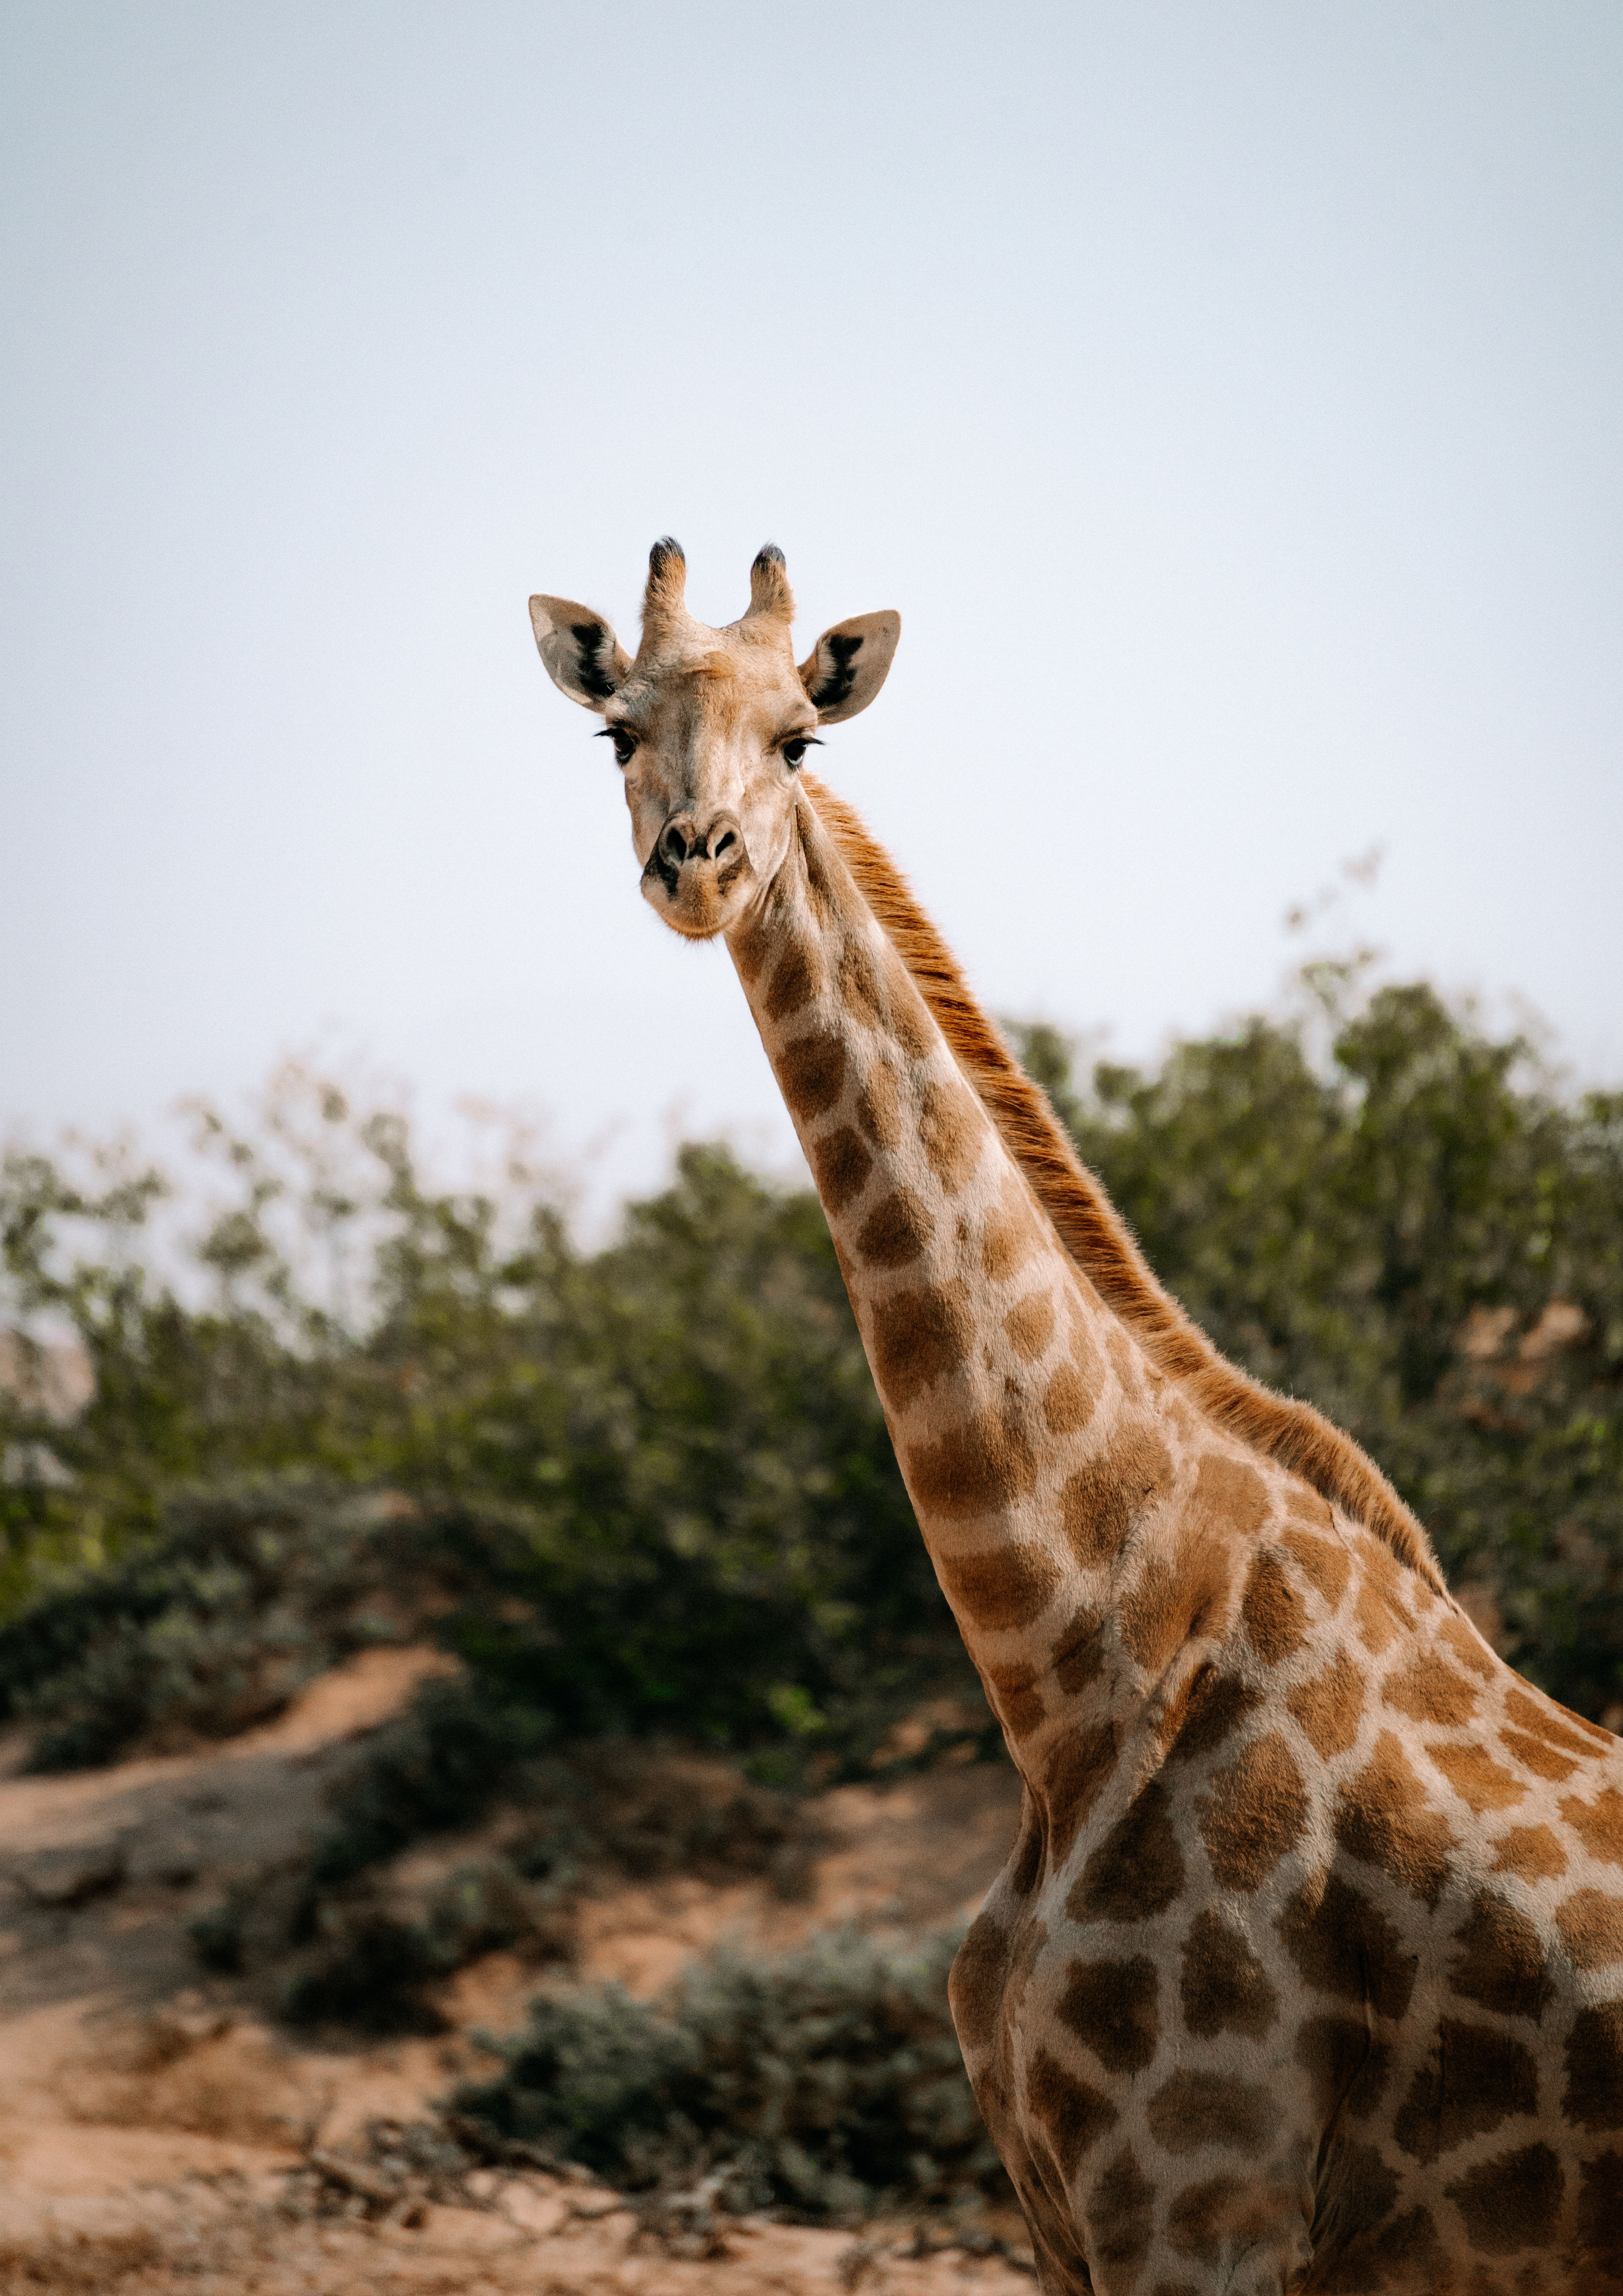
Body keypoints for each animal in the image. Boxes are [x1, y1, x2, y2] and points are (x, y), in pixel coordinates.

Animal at [528, 540, 1623, 2293]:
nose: (698, 865)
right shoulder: (1063, 2215)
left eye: (801, 741)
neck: (1079, 1666)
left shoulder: (1198, 2206)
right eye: (612, 729)